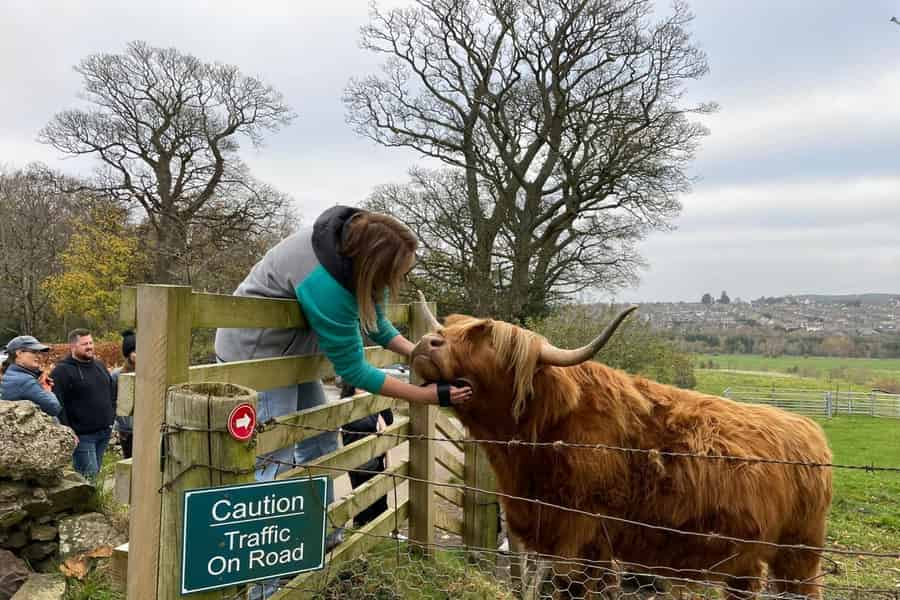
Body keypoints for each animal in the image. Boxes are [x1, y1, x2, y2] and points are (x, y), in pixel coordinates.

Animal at [410, 300, 832, 599]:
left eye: (488, 341)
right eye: (447, 328)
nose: (428, 343)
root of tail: (809, 429)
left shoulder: (582, 539)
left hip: (799, 553)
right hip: (747, 556)